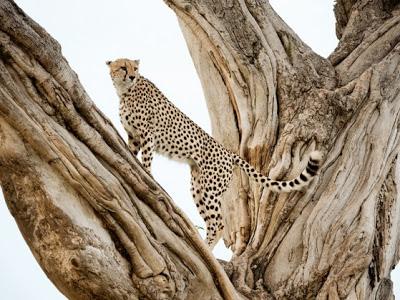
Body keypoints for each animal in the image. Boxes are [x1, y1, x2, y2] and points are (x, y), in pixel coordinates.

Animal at [106, 58, 322, 248]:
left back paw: (207, 249)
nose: (132, 76)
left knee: (219, 223)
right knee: (212, 221)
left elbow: (147, 159)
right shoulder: (134, 136)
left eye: (134, 68)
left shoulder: (148, 135)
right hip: (198, 187)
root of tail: (228, 151)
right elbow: (132, 151)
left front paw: (147, 174)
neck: (125, 92)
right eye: (123, 67)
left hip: (210, 188)